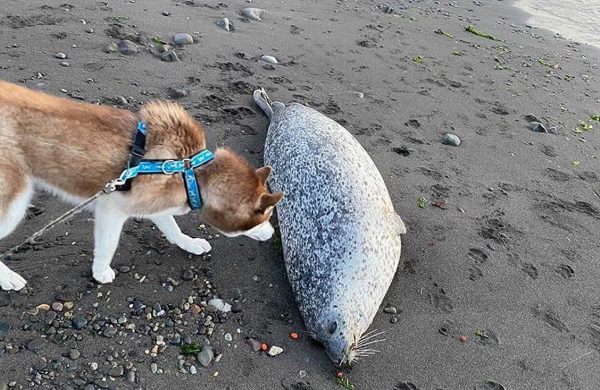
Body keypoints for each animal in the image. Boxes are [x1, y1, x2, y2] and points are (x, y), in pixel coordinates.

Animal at [0, 80, 284, 290]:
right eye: (263, 217)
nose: (272, 234)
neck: (191, 171)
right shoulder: (112, 208)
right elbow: (107, 246)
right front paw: (100, 271)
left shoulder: (156, 204)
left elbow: (173, 229)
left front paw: (189, 243)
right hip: (13, 204)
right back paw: (8, 279)